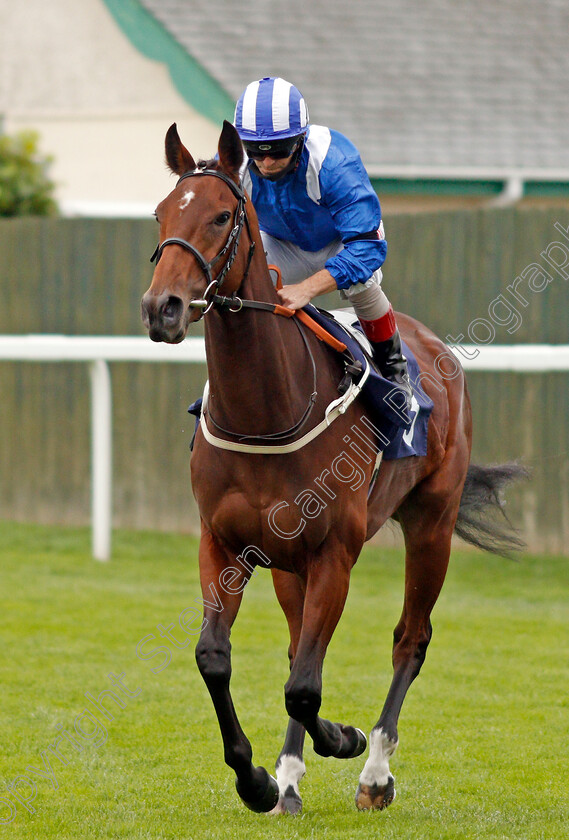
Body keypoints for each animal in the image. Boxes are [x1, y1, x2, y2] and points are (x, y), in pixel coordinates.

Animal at [141, 120, 524, 812]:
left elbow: (304, 685)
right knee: (302, 647)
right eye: (161, 213)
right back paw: (292, 777)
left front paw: (344, 740)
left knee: (409, 638)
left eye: (220, 216)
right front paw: (260, 779)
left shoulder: (334, 554)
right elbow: (219, 657)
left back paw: (374, 772)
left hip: (431, 522)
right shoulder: (226, 543)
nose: (163, 308)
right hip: (287, 561)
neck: (267, 408)